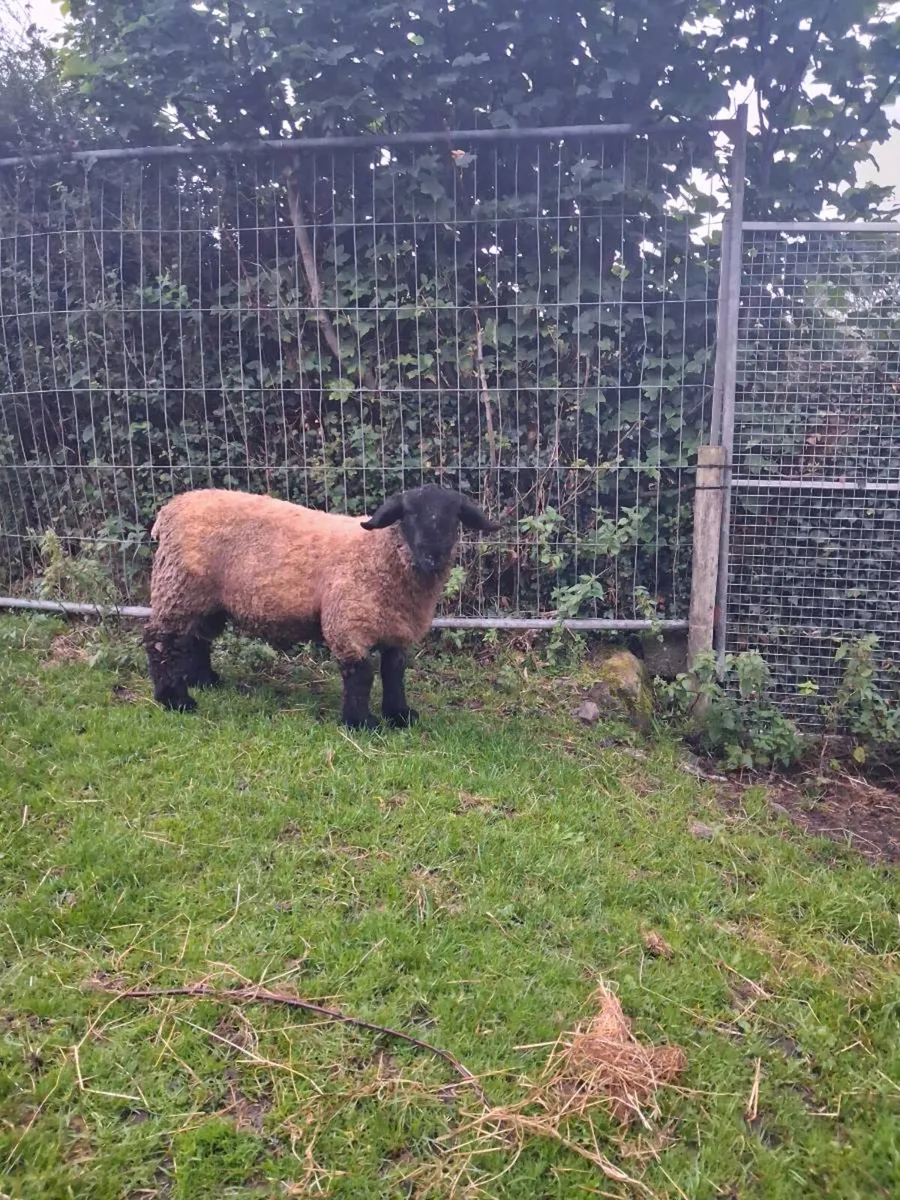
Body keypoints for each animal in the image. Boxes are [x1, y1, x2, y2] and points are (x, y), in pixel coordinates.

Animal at [142, 483, 498, 728]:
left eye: (453, 519)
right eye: (409, 515)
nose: (432, 556)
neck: (380, 552)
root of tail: (171, 508)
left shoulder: (397, 629)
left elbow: (394, 672)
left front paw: (400, 715)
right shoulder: (348, 624)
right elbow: (361, 675)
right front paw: (360, 723)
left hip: (206, 599)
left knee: (196, 639)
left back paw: (204, 681)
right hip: (179, 587)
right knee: (160, 641)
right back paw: (175, 699)